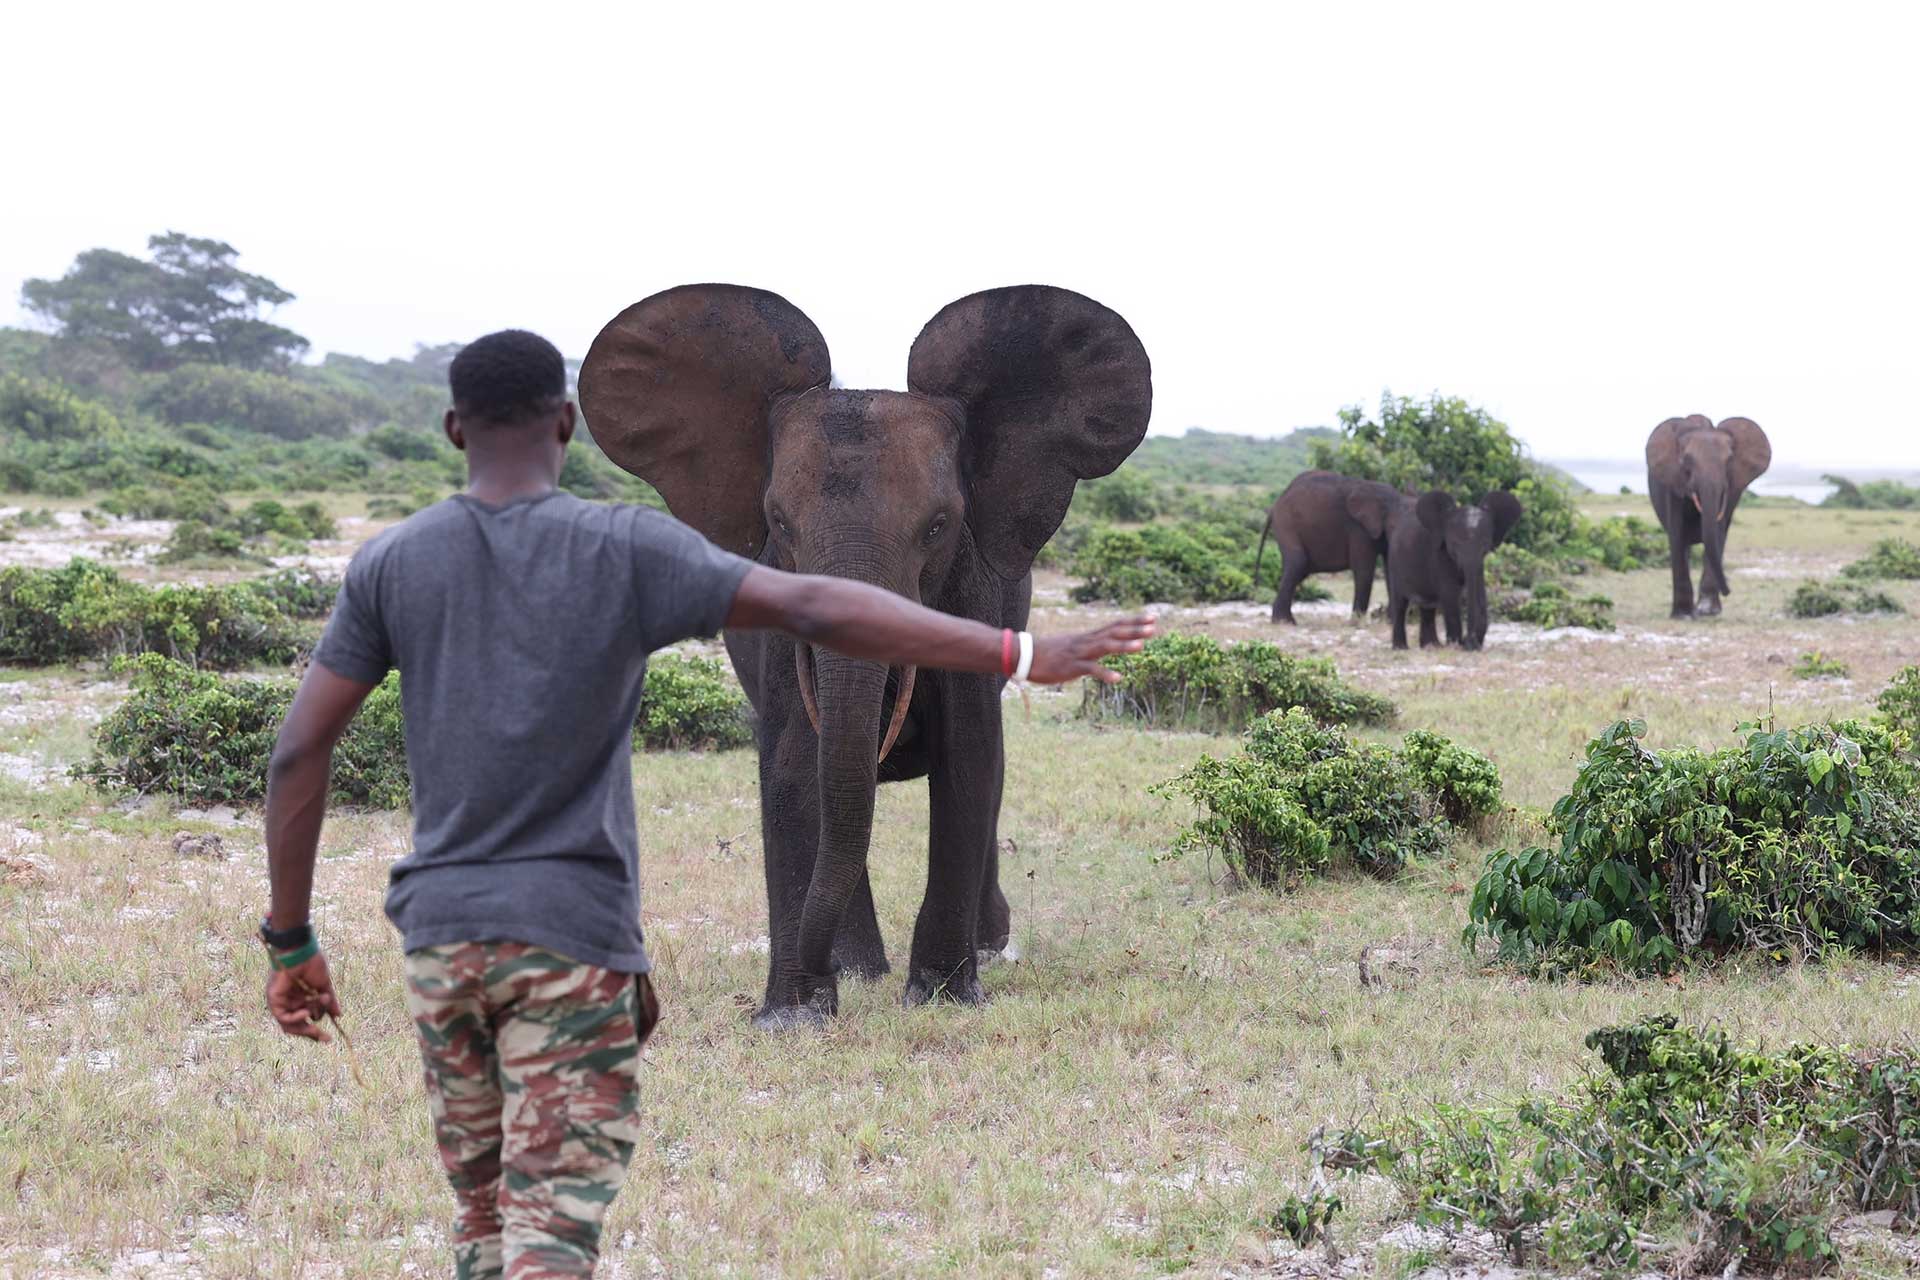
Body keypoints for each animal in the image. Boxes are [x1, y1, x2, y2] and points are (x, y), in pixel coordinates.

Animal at [577, 284, 1152, 1027]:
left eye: (938, 527)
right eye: (779, 525)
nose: (818, 970)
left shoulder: (973, 590)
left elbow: (969, 758)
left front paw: (940, 998)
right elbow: (794, 761)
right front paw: (796, 1017)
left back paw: (980, 948)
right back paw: (859, 968)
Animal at [1253, 470, 1403, 623]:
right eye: (1392, 525)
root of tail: (1275, 505)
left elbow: (1390, 568)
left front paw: (1389, 621)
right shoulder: (1358, 529)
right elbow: (1364, 570)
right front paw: (1355, 623)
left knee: (1300, 570)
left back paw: (1285, 620)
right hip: (1286, 523)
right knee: (1298, 563)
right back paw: (1284, 622)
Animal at [1349, 488, 1522, 650]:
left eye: (1486, 545)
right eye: (1454, 544)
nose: (1470, 642)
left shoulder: (1479, 563)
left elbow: (1479, 589)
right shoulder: (1438, 554)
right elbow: (1450, 594)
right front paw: (1456, 645)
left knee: (1428, 607)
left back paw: (1431, 646)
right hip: (1395, 562)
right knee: (1400, 602)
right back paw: (1401, 648)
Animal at [1645, 415, 1771, 618]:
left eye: (1729, 460)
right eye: (1686, 460)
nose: (1728, 591)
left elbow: (1717, 534)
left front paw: (1707, 611)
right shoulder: (1673, 484)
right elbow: (1677, 535)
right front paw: (1683, 615)